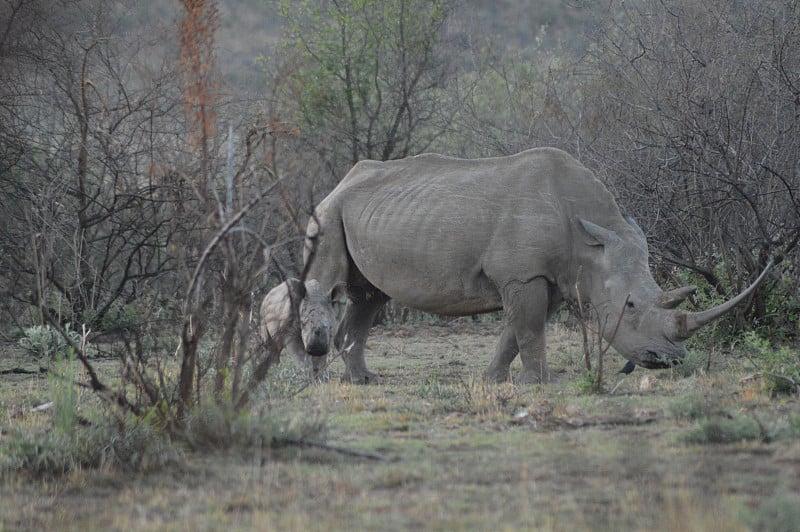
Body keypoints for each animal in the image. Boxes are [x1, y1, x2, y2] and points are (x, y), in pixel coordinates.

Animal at [304, 148, 772, 384]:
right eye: (631, 306)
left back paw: (365, 380)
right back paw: (321, 374)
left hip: (364, 214)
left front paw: (493, 380)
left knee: (369, 297)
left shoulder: (552, 278)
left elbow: (516, 332)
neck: (591, 240)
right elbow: (528, 329)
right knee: (326, 287)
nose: (668, 360)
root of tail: (340, 182)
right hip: (328, 214)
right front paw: (542, 383)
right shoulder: (523, 274)